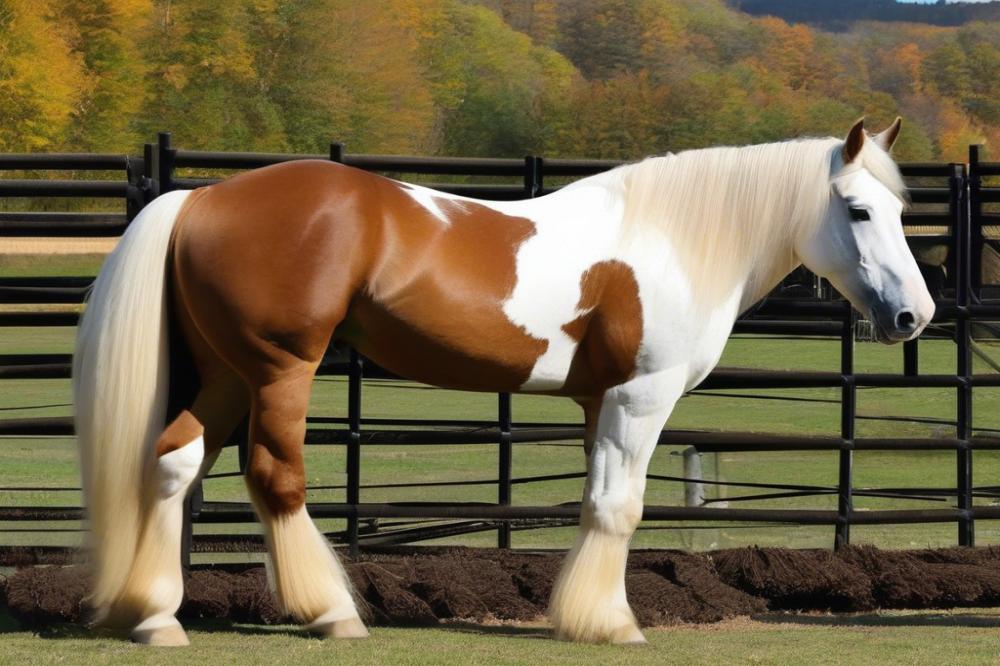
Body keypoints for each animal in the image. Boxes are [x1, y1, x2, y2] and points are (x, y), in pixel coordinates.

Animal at [74, 118, 932, 644]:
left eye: (896, 209)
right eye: (858, 211)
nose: (914, 316)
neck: (672, 240)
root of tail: (202, 196)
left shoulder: (600, 403)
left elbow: (597, 503)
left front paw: (587, 615)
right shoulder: (639, 398)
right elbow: (621, 509)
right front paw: (611, 623)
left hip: (226, 373)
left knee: (174, 462)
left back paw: (156, 616)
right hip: (280, 369)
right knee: (273, 478)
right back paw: (331, 612)